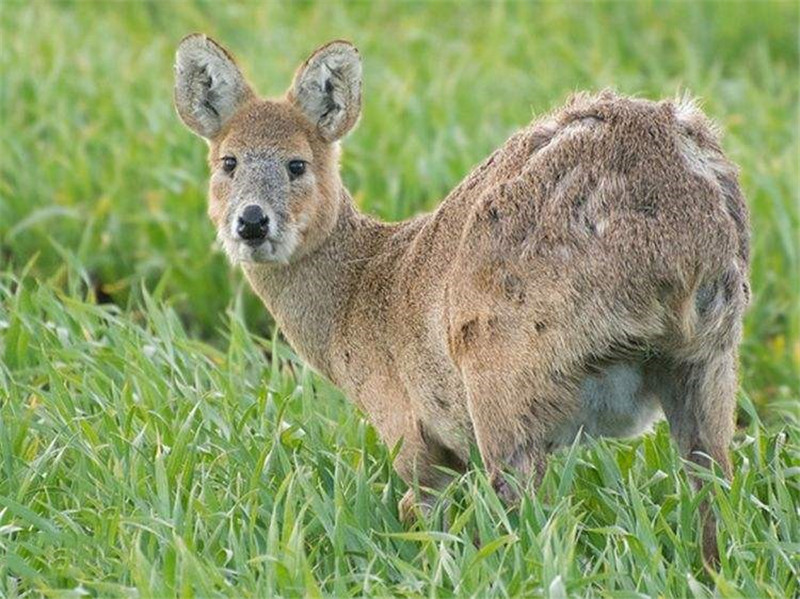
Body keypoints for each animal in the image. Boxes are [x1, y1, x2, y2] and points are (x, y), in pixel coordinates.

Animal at [173, 35, 752, 564]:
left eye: (297, 164)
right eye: (227, 162)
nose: (251, 222)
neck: (356, 298)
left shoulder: (407, 430)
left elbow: (422, 513)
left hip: (501, 370)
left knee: (525, 512)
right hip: (709, 358)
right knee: (715, 487)